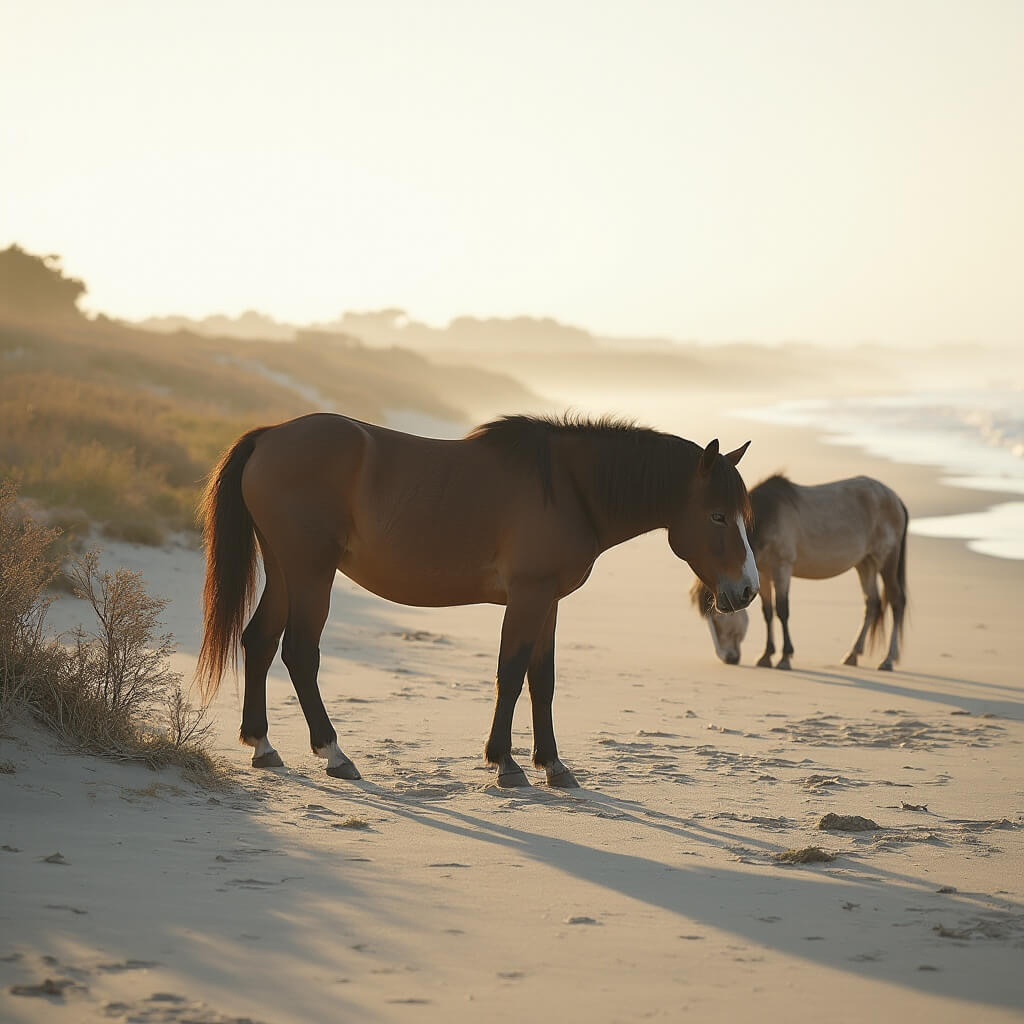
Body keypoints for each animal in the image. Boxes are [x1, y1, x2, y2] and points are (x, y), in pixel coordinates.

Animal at [196, 412, 758, 787]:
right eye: (717, 515)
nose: (747, 589)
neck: (571, 488)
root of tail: (270, 435)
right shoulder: (528, 597)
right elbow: (510, 673)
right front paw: (504, 762)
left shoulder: (549, 601)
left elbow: (541, 679)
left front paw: (553, 764)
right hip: (311, 572)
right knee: (300, 653)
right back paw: (334, 753)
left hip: (284, 570)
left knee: (260, 642)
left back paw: (262, 745)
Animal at [691, 474, 908, 671]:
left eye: (718, 618)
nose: (728, 658)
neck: (769, 515)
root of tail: (895, 499)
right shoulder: (763, 574)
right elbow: (768, 612)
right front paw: (766, 656)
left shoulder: (782, 569)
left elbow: (782, 610)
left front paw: (785, 658)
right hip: (865, 563)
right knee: (872, 603)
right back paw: (852, 655)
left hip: (886, 559)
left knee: (896, 601)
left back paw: (887, 660)